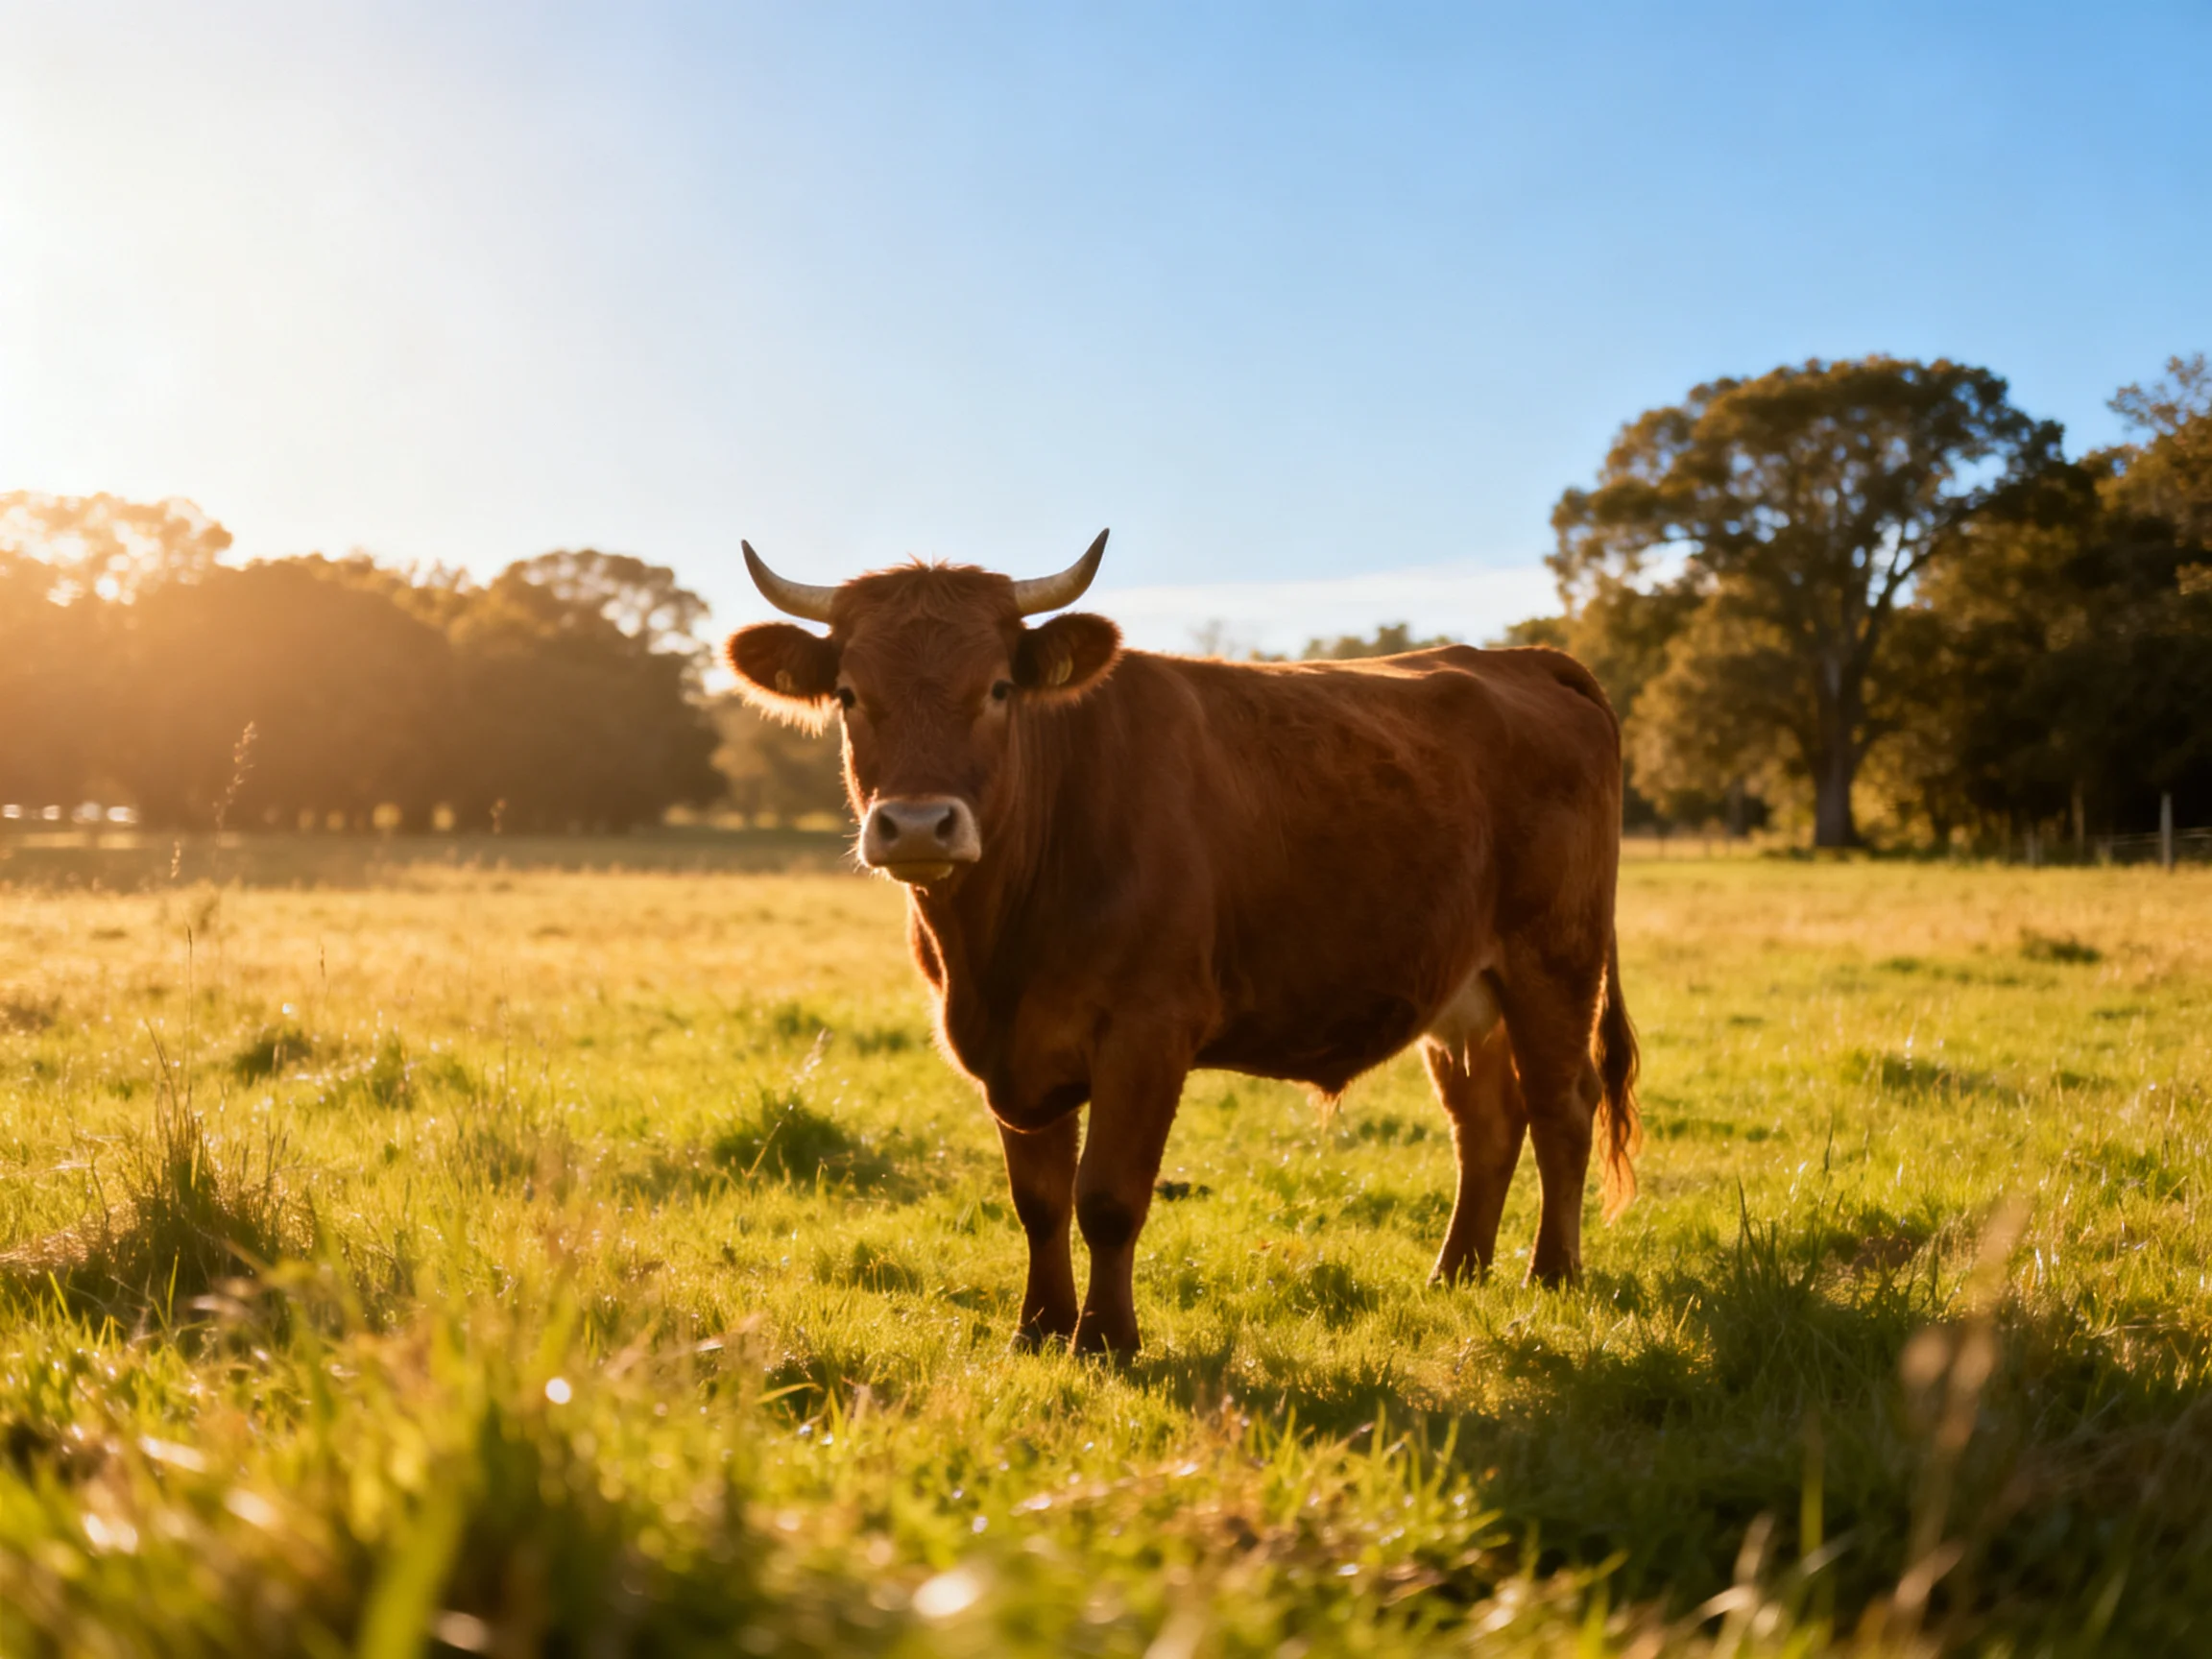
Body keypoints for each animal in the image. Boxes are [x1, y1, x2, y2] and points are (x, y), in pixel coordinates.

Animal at [726, 531, 1639, 1355]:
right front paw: (1039, 1327)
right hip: (1464, 990)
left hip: (1554, 959)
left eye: (997, 688)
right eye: (849, 693)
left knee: (1562, 1105)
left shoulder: (1148, 1029)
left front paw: (1106, 1339)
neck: (995, 952)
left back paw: (1551, 1276)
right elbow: (1038, 1199)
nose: (918, 824)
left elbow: (1108, 1196)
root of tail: (1521, 660)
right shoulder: (1014, 1052)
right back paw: (1455, 1274)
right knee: (1486, 1121)